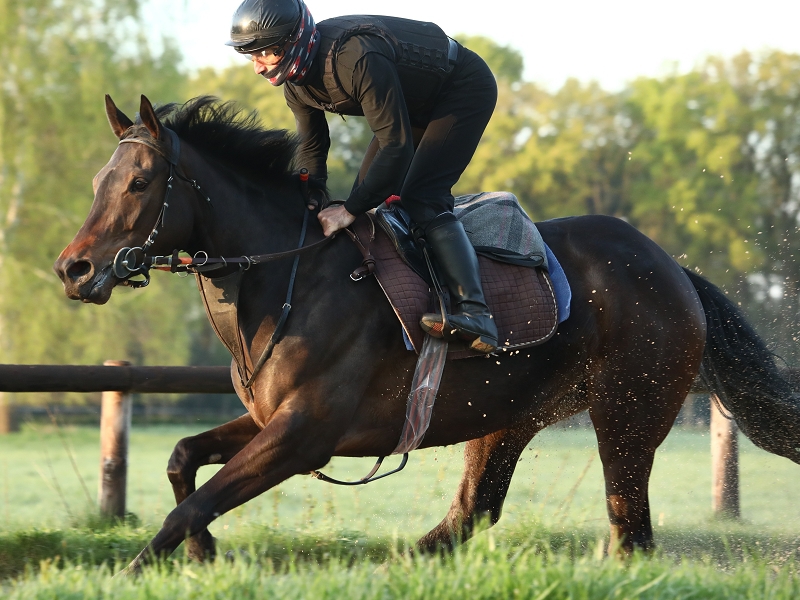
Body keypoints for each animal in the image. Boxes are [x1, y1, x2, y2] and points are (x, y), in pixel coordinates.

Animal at [55, 95, 800, 574]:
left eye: (140, 181)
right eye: (96, 179)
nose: (73, 268)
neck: (291, 277)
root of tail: (673, 268)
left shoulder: (305, 433)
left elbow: (189, 509)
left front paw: (149, 569)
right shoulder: (272, 418)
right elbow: (183, 461)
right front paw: (205, 556)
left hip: (628, 412)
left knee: (629, 532)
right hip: (508, 415)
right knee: (473, 513)